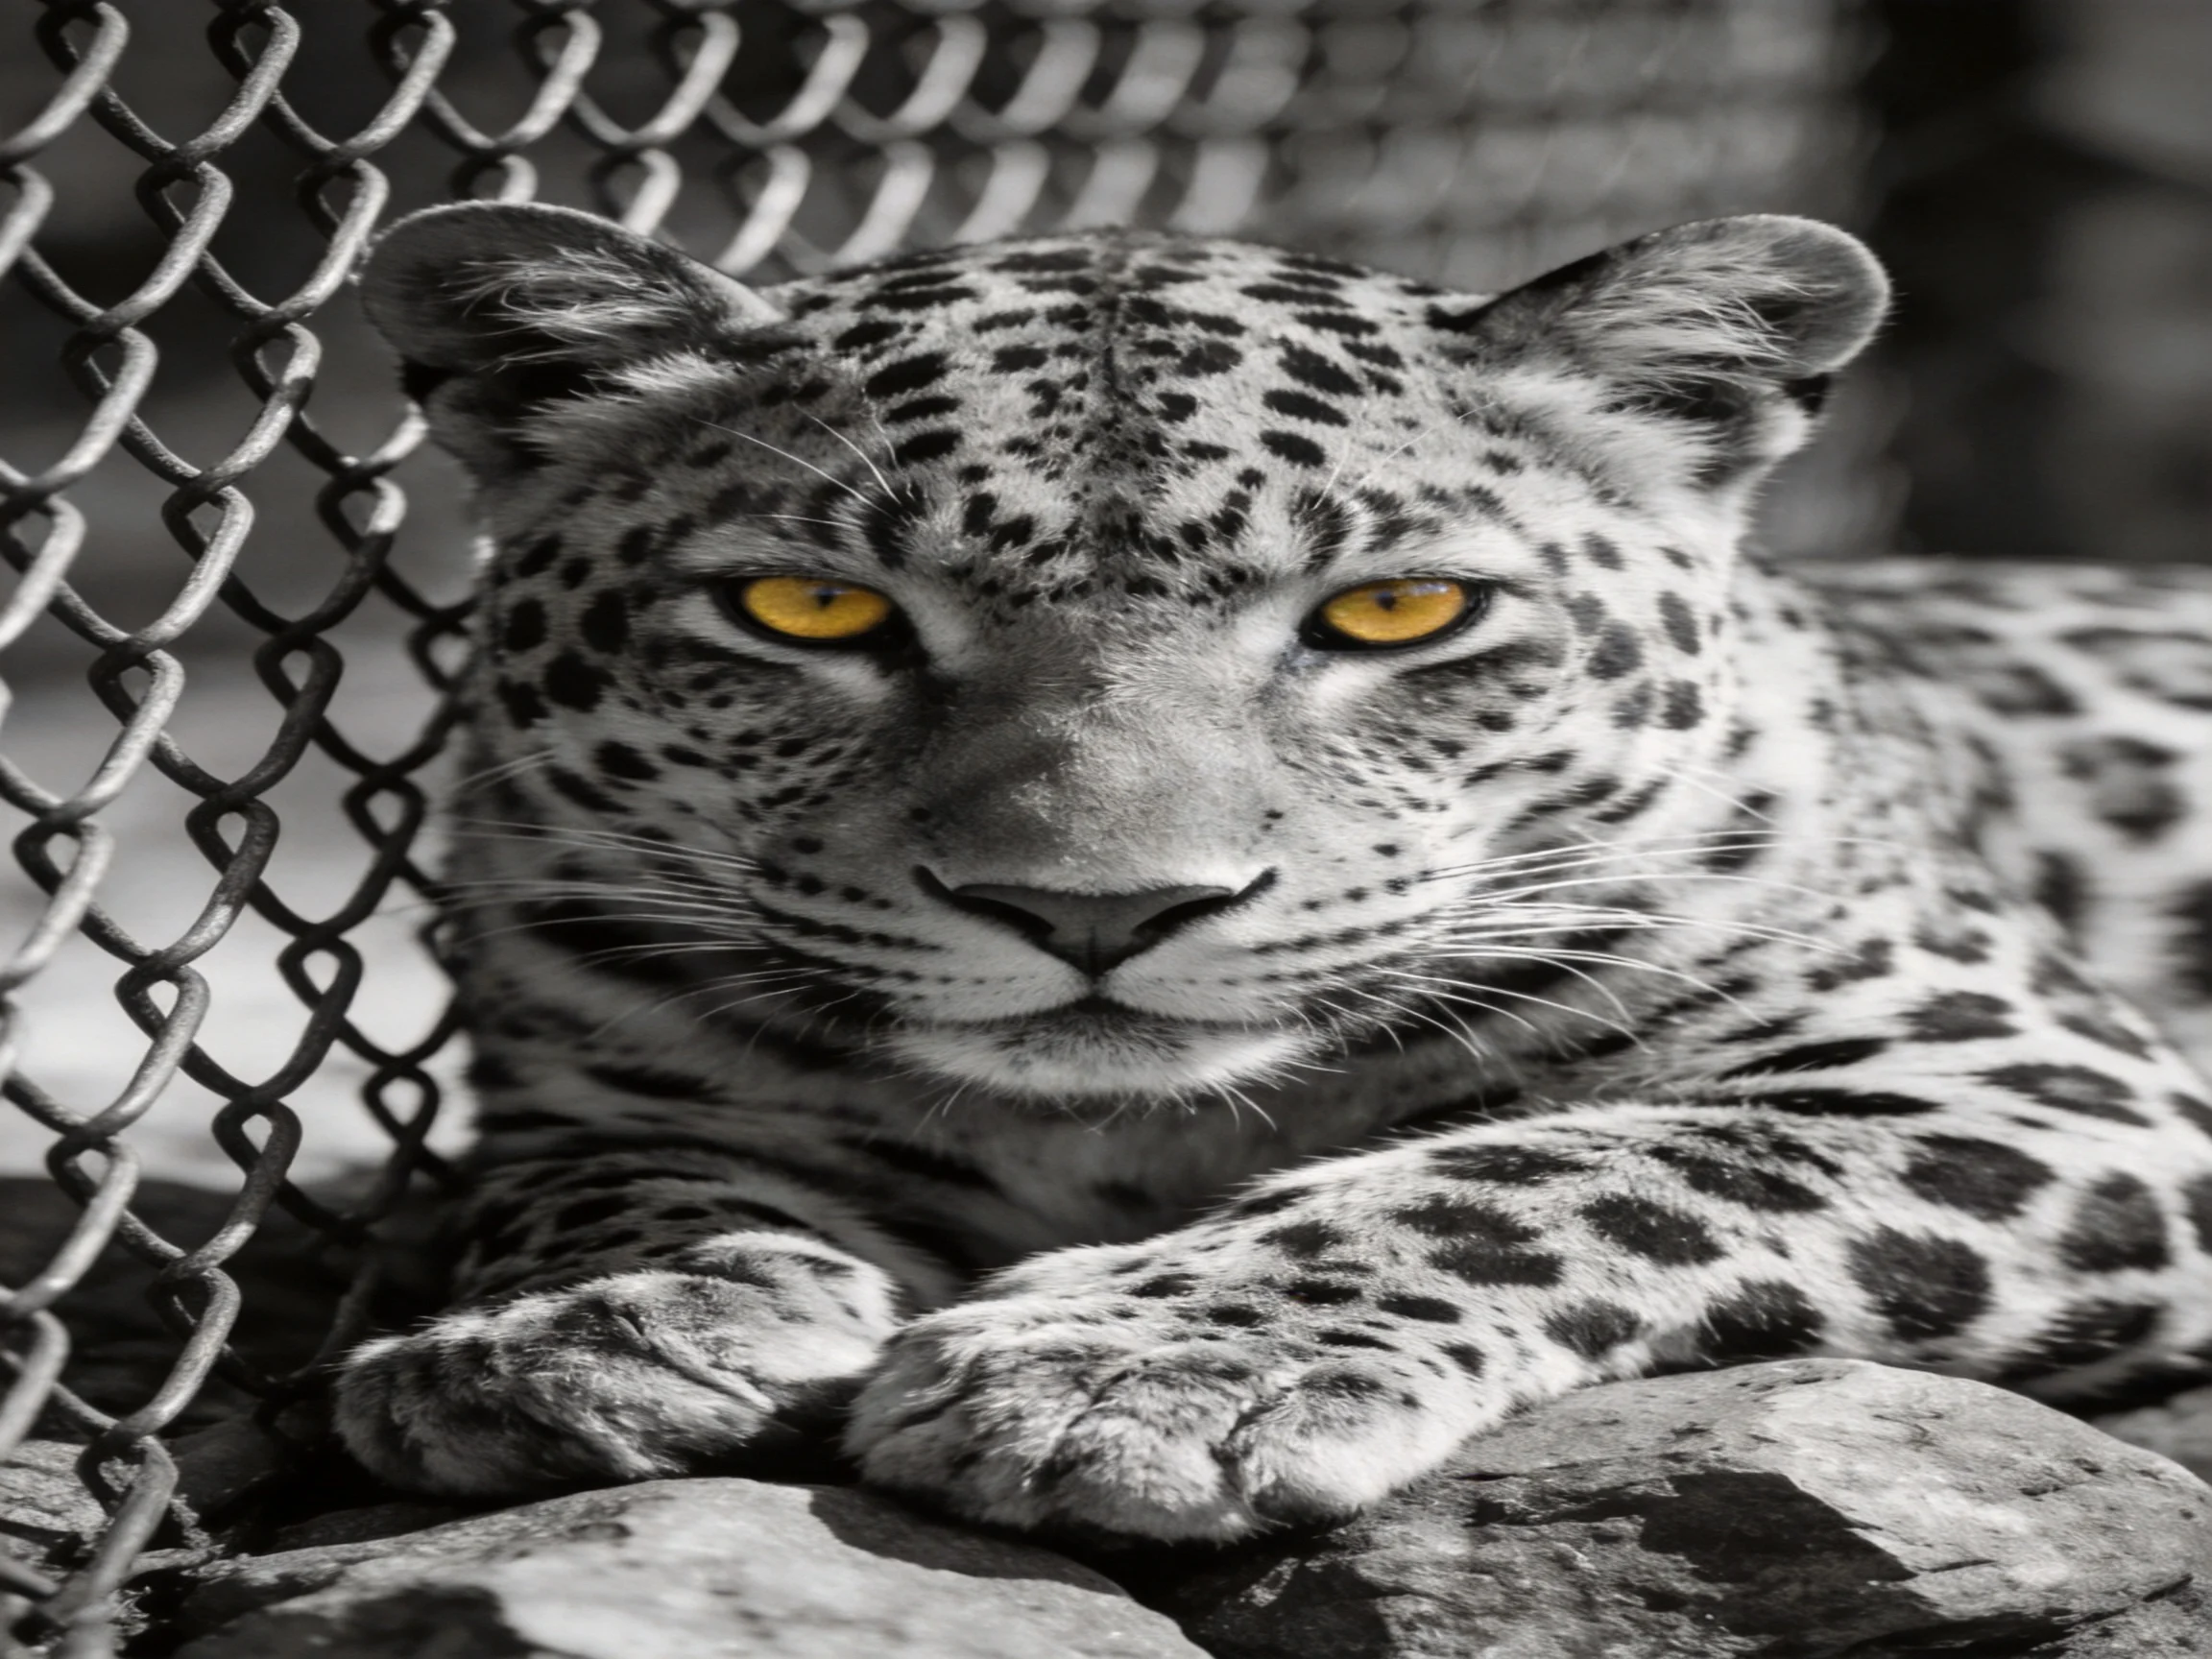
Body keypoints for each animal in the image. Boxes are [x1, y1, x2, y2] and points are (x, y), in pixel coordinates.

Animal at [332, 200, 2212, 1544]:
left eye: (1397, 612)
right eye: (809, 610)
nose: (1095, 910)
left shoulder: (2038, 1076)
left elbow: (1559, 1163)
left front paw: (1141, 1370)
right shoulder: (578, 1082)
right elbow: (582, 1178)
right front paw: (597, 1318)